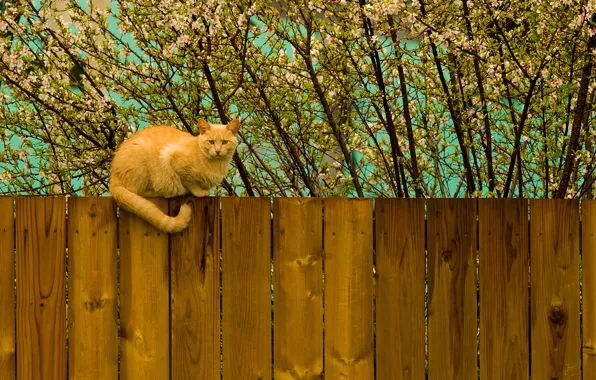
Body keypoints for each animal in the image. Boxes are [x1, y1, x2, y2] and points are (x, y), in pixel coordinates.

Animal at [109, 118, 240, 232]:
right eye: (211, 142)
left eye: (224, 142)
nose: (217, 151)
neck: (217, 165)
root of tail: (113, 175)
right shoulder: (172, 158)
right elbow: (191, 183)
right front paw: (199, 192)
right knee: (138, 192)